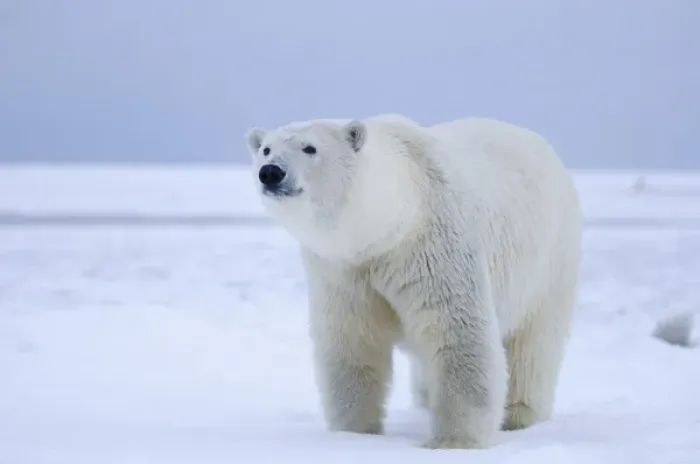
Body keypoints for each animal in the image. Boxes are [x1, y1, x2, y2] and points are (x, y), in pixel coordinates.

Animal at [244, 114, 582, 449]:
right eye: (265, 149)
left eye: (310, 148)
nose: (271, 172)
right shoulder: (341, 270)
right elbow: (352, 341)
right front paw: (353, 433)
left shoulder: (433, 247)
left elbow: (456, 332)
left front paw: (453, 441)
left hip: (549, 259)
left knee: (534, 343)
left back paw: (519, 414)